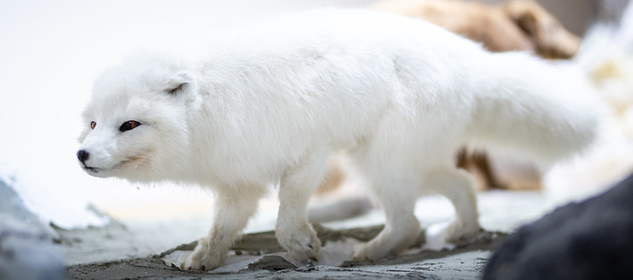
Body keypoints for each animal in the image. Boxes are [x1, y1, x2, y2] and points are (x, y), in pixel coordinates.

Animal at [78, 9, 596, 270]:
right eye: (94, 123)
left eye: (129, 125)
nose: (81, 155)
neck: (214, 106)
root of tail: (471, 58)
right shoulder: (239, 180)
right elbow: (224, 227)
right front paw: (202, 258)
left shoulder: (308, 153)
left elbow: (286, 214)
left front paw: (303, 247)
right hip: (400, 158)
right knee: (460, 183)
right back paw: (459, 232)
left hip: (379, 161)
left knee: (409, 220)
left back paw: (372, 252)